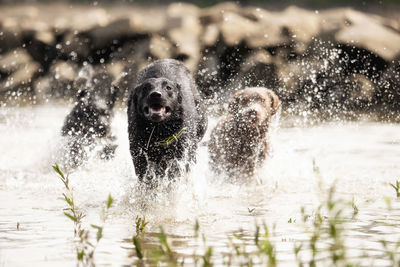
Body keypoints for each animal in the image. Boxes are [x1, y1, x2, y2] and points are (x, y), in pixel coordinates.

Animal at [127, 59, 209, 187]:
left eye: (168, 88)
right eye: (145, 87)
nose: (156, 94)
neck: (159, 132)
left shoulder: (182, 149)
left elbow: (174, 172)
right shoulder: (138, 151)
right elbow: (145, 175)